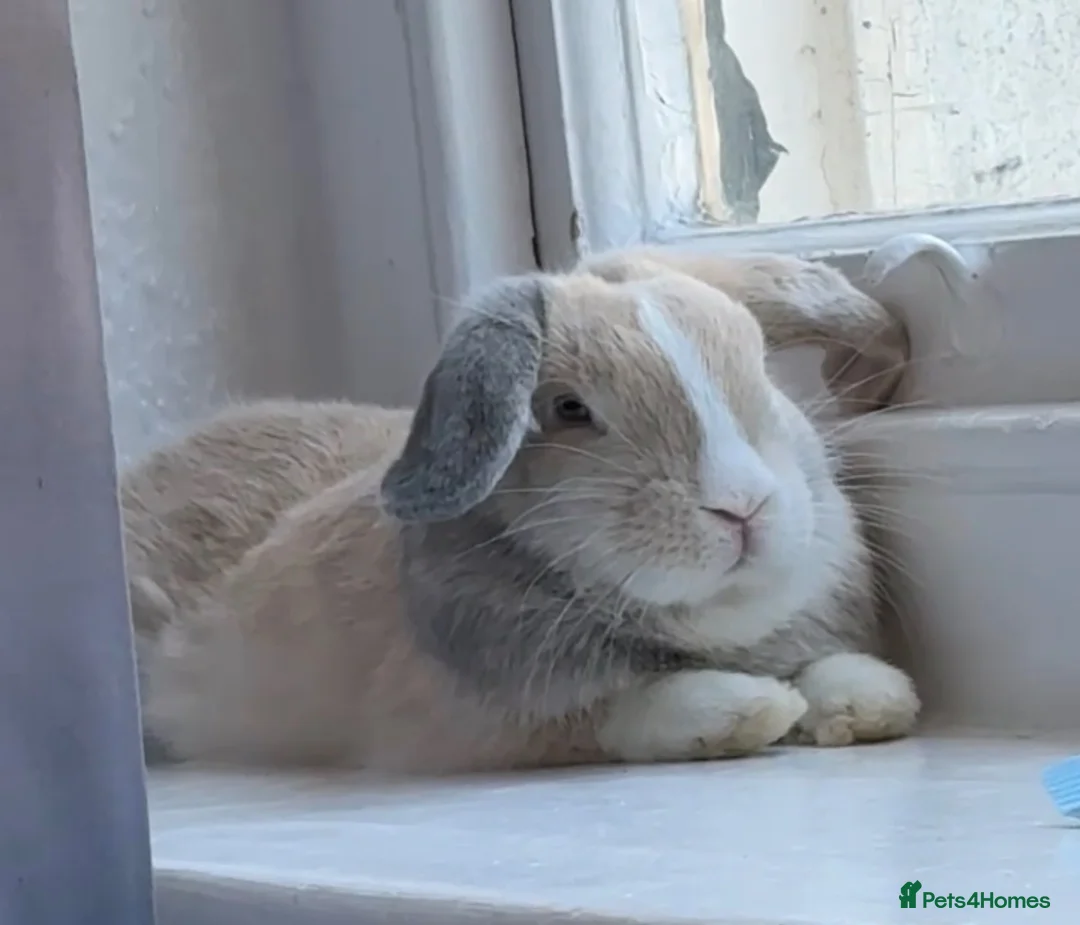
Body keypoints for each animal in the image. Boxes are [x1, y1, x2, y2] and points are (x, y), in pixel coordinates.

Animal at [134, 251, 919, 772]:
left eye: (760, 371)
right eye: (569, 410)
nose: (742, 505)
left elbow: (834, 665)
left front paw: (872, 701)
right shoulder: (494, 718)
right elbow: (626, 708)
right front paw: (750, 710)